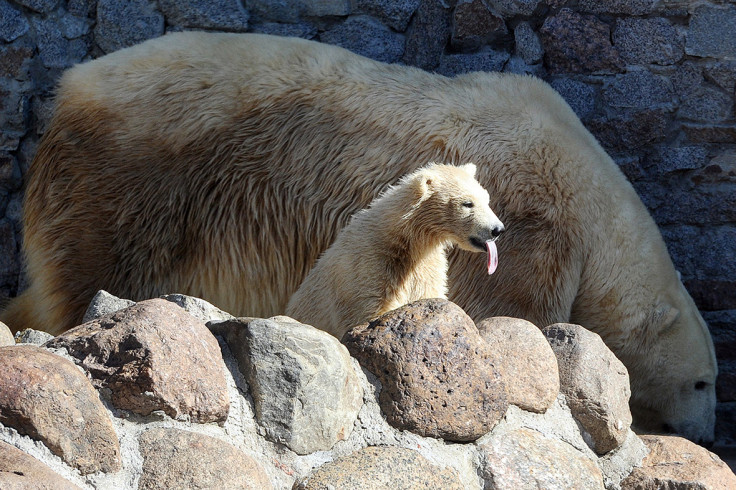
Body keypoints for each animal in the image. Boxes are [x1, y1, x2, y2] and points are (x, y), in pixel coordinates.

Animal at [288, 163, 506, 338]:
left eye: (486, 199)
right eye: (467, 203)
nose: (497, 230)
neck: (403, 241)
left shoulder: (425, 267)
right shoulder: (369, 267)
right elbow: (372, 311)